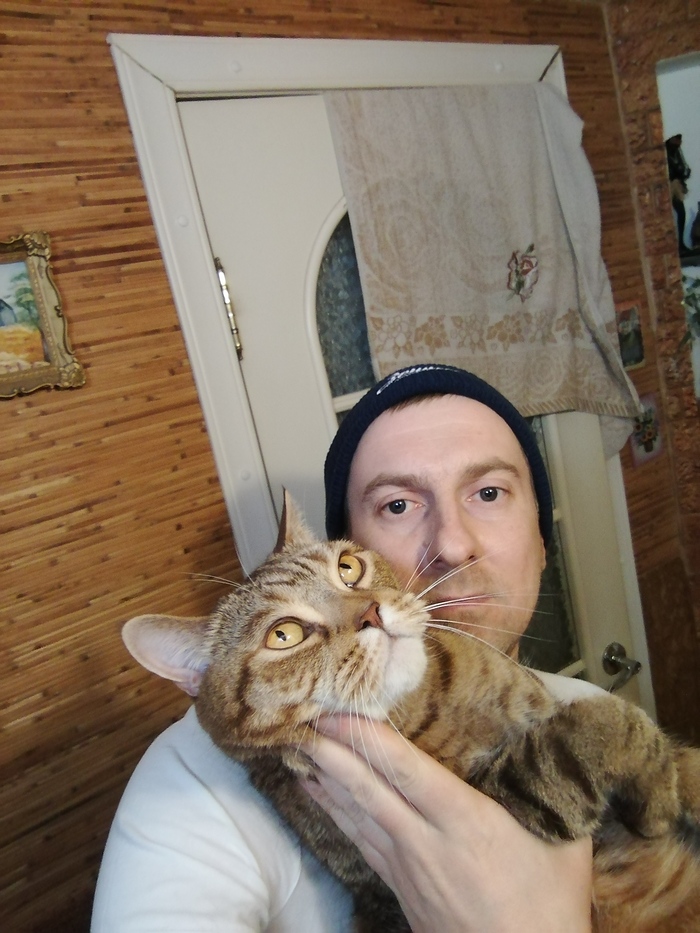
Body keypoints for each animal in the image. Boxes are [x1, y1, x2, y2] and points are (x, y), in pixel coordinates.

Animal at [124, 493, 700, 932]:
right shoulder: (508, 801)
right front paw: (655, 797)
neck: (436, 699)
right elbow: (600, 726)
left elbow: (666, 747)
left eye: (348, 568)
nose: (372, 613)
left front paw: (674, 781)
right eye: (283, 635)